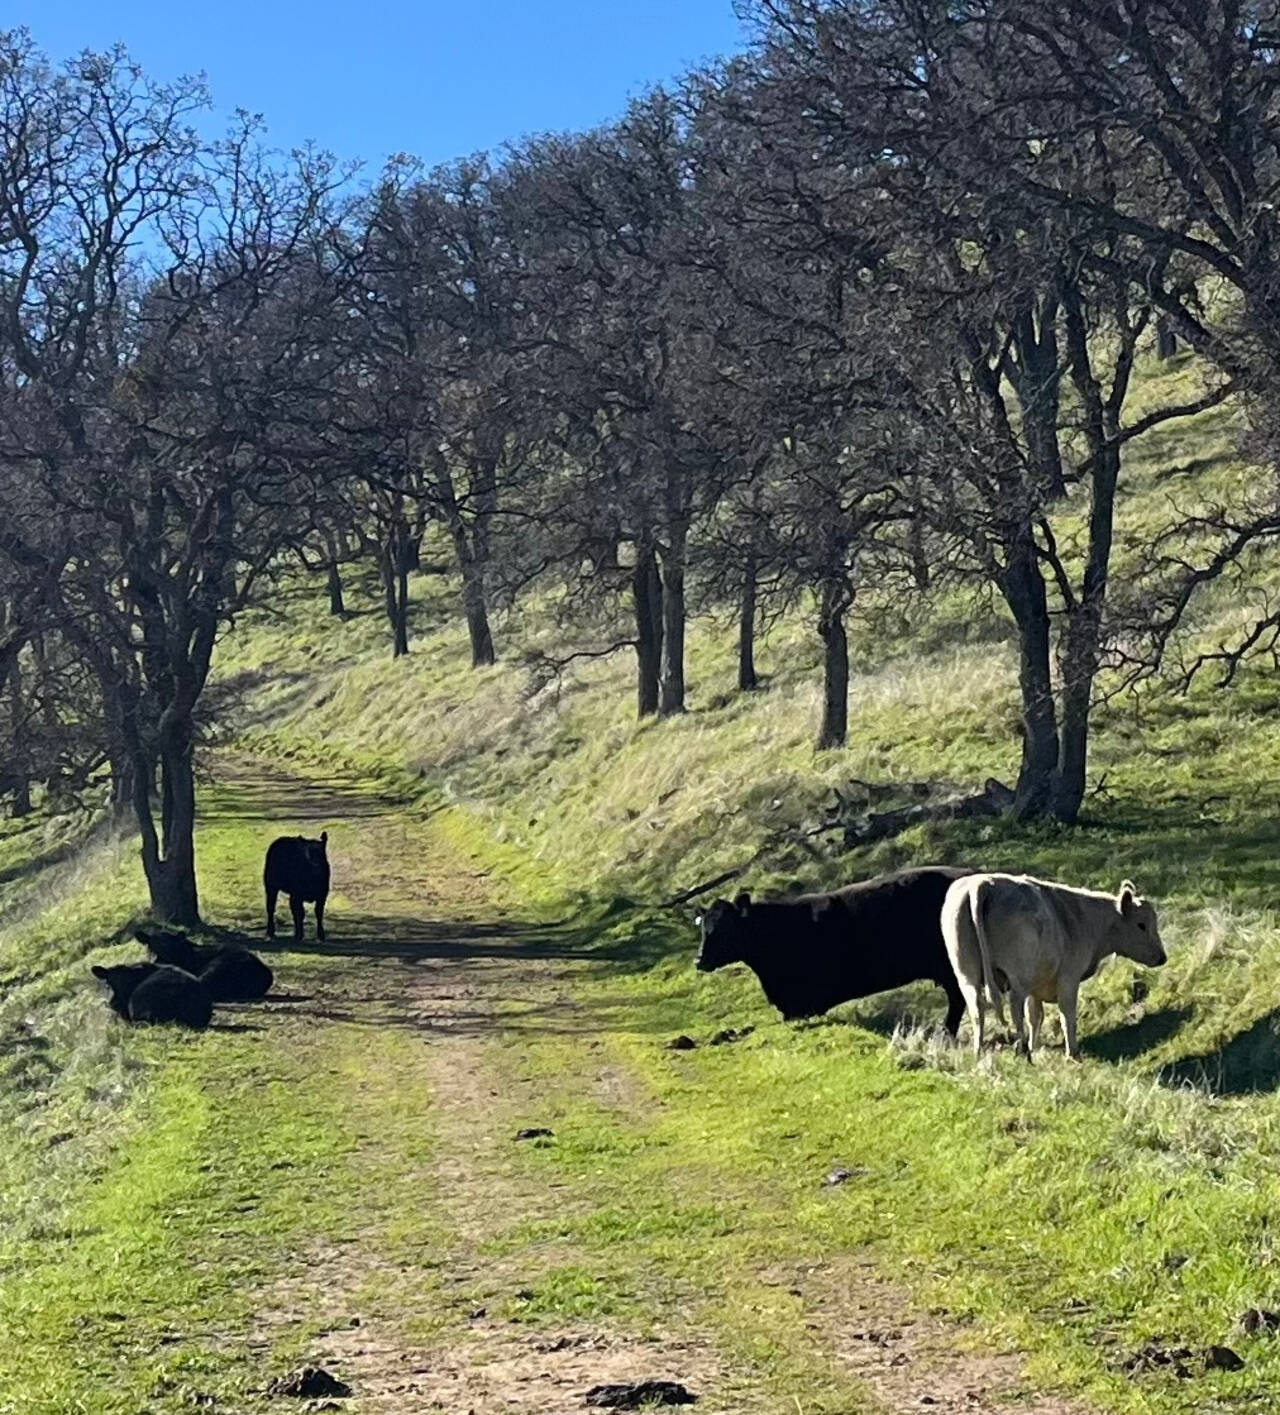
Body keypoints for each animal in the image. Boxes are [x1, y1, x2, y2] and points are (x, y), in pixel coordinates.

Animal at [944, 871, 1165, 1064]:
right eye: (1141, 925)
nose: (1162, 957)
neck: (1082, 919)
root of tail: (982, 883)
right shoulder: (1068, 978)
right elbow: (1067, 1015)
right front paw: (1072, 1054)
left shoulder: (1036, 988)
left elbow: (1035, 1016)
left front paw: (1034, 1046)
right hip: (1017, 978)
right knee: (1015, 1007)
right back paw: (1022, 1052)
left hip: (966, 977)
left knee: (977, 1009)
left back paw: (979, 1053)